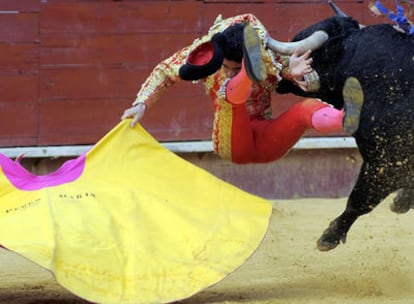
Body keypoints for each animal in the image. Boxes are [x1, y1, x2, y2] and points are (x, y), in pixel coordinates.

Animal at [274, 15, 414, 251]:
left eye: (300, 42)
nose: (279, 71)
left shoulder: (384, 161)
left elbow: (359, 200)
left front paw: (329, 237)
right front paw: (401, 201)